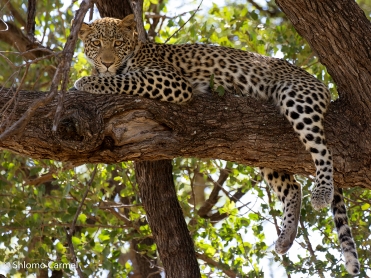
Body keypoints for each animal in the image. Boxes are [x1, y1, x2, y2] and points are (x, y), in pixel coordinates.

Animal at [72, 14, 360, 274]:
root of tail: (321, 83)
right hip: (264, 149)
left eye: (117, 43)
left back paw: (322, 193)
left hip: (297, 98)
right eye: (96, 43)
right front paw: (93, 76)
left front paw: (86, 81)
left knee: (323, 151)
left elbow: (123, 80)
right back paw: (285, 238)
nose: (107, 62)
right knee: (293, 187)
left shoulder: (172, 80)